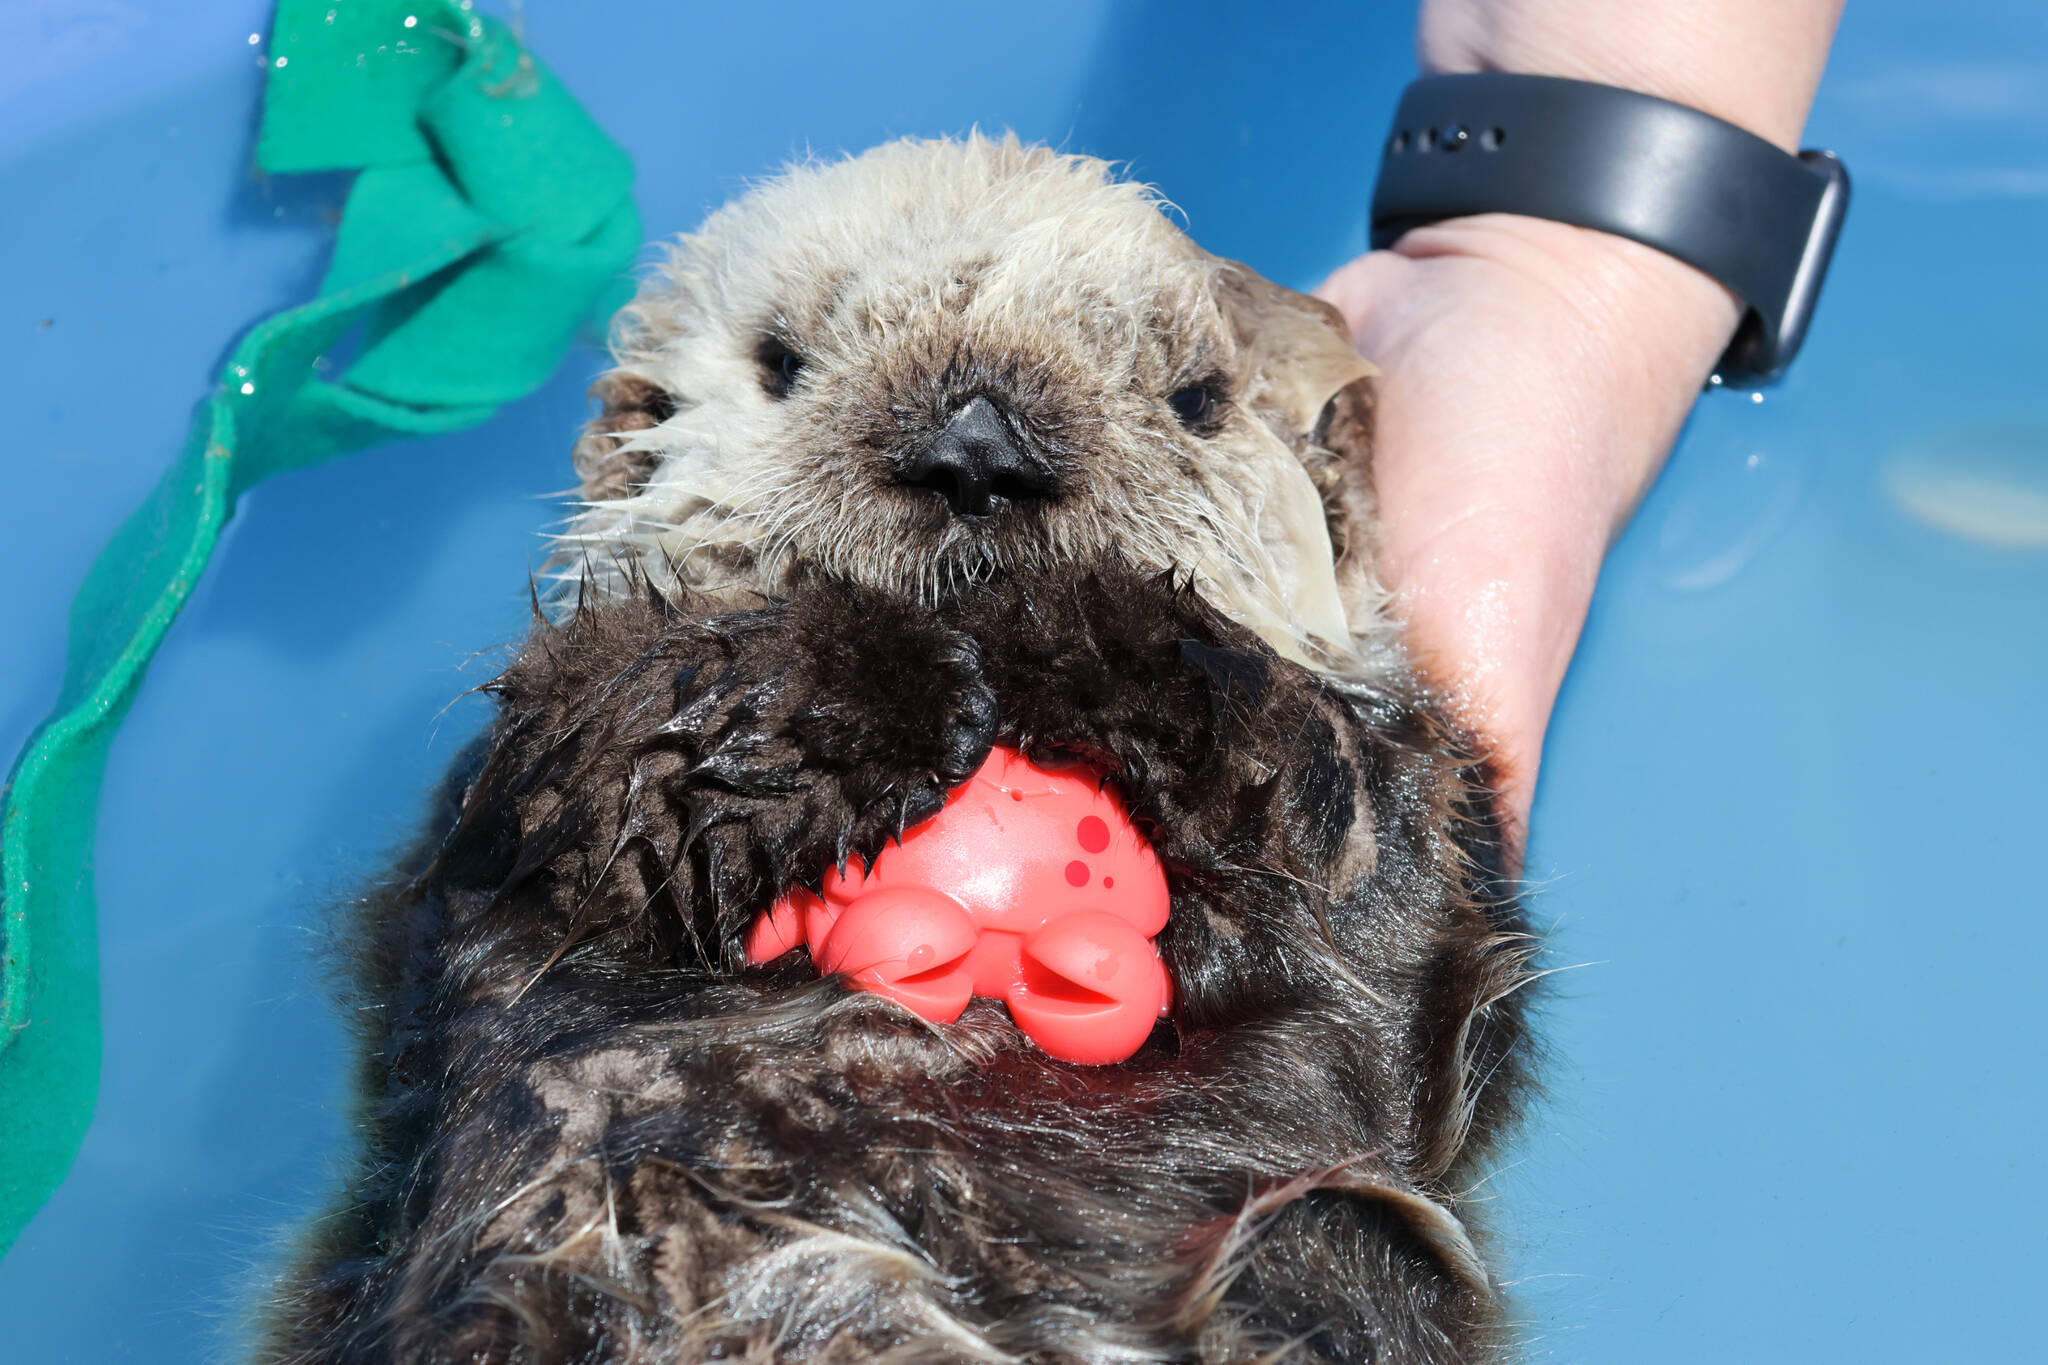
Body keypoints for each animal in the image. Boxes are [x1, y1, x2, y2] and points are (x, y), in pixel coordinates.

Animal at [261, 136, 1534, 1364]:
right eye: (779, 362)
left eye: (1197, 397)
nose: (977, 452)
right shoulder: (517, 804)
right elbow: (605, 750)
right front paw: (891, 674)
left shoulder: (1405, 838)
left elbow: (1337, 835)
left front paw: (1054, 616)